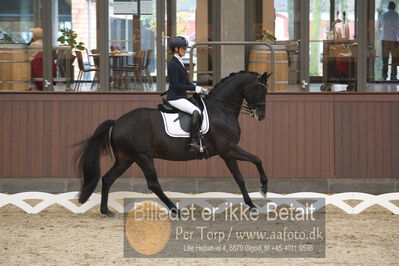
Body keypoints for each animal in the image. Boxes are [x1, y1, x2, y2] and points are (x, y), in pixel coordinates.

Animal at [77, 70, 272, 216]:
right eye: (262, 91)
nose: (261, 116)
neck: (221, 108)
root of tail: (117, 122)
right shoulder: (228, 149)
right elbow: (257, 159)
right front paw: (263, 188)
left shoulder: (227, 153)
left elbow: (240, 179)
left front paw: (252, 205)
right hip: (143, 157)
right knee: (153, 184)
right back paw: (176, 211)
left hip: (126, 159)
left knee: (108, 178)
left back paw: (106, 211)